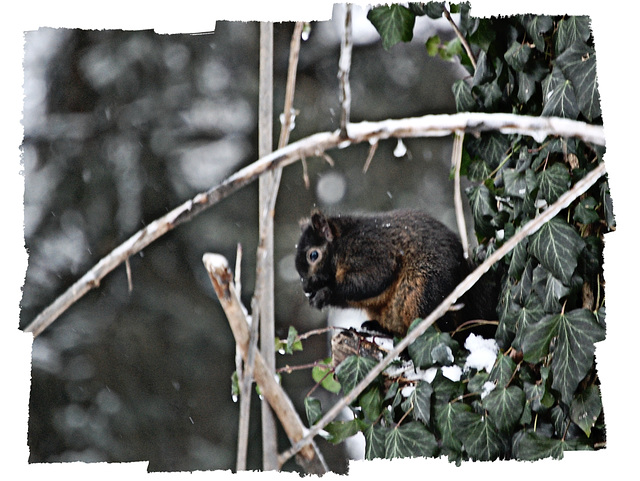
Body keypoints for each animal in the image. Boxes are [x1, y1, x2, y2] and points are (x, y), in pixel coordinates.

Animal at [296, 208, 500, 340]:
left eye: (313, 255)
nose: (305, 288)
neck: (341, 244)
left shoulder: (370, 251)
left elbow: (374, 279)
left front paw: (325, 294)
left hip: (424, 294)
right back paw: (376, 328)